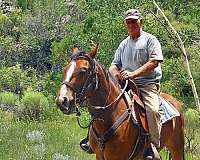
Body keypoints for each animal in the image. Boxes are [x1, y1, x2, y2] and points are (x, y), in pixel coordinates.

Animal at [55, 45, 184, 160]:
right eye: (66, 69)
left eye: (83, 70)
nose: (62, 100)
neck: (108, 116)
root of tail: (176, 103)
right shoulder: (99, 156)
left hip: (177, 147)